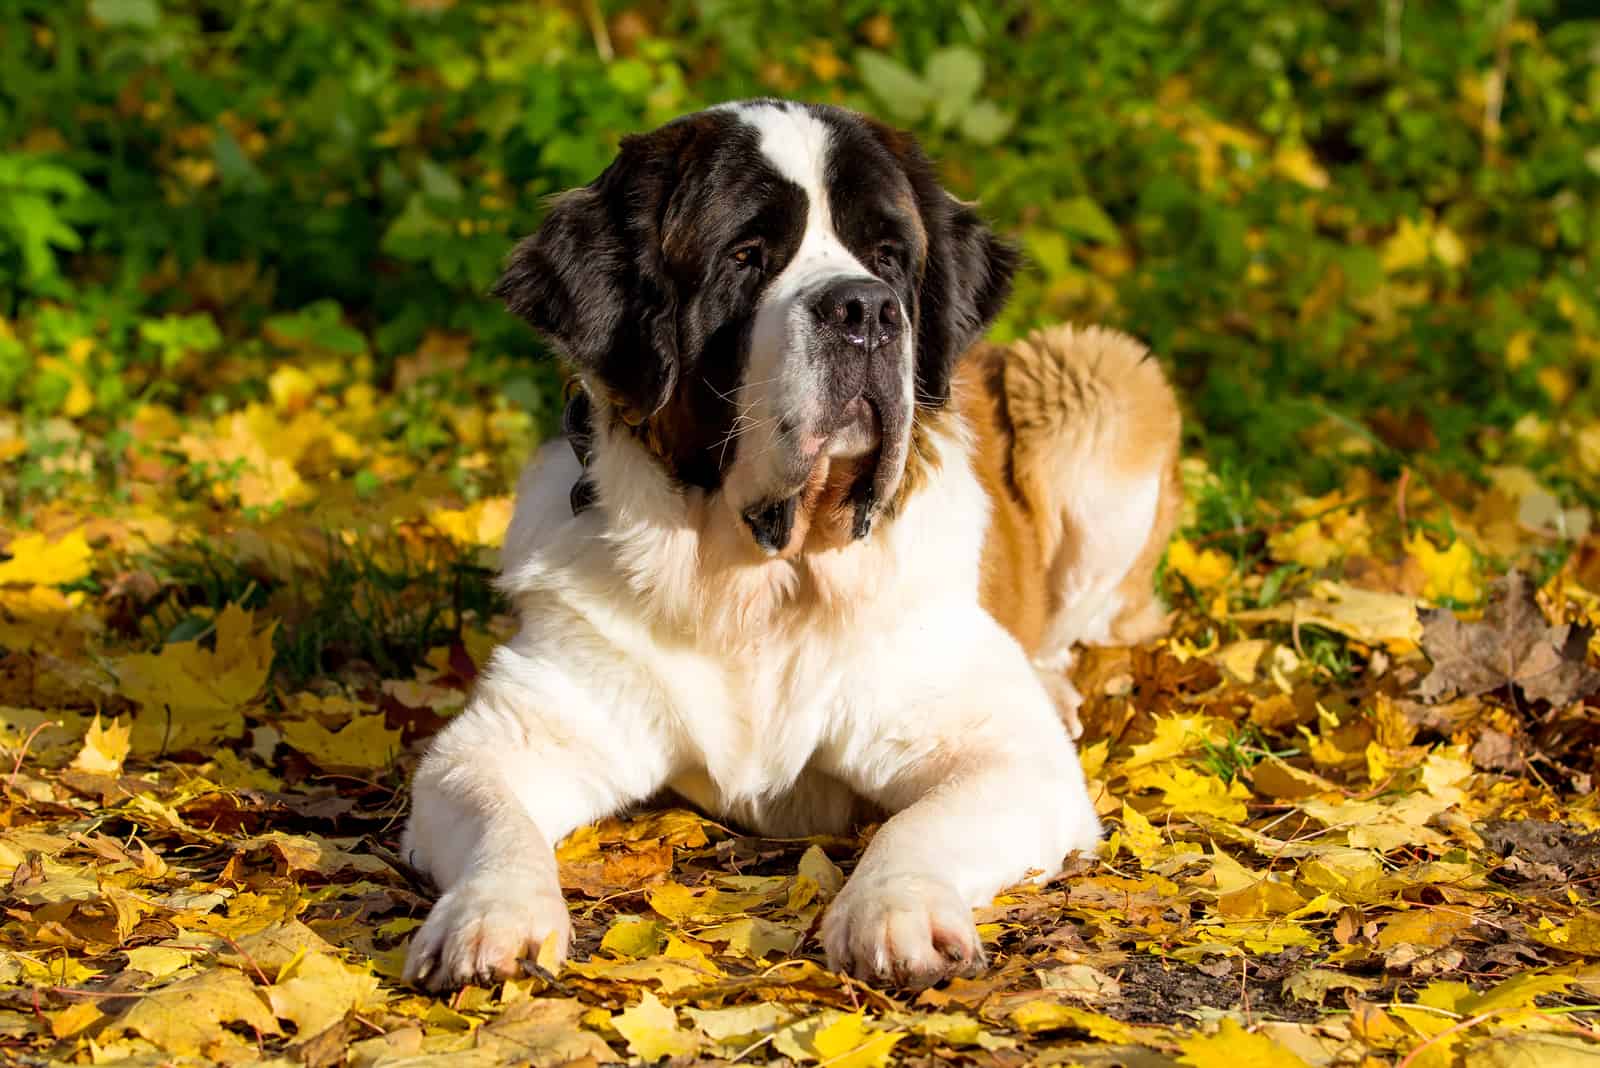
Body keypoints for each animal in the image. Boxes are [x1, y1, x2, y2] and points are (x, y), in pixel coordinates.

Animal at [403, 99, 1177, 991]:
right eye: (745, 257)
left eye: (889, 256)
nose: (868, 310)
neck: (765, 578)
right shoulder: (503, 740)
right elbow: (494, 810)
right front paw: (491, 917)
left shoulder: (1010, 756)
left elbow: (921, 823)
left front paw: (897, 911)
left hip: (1100, 381)